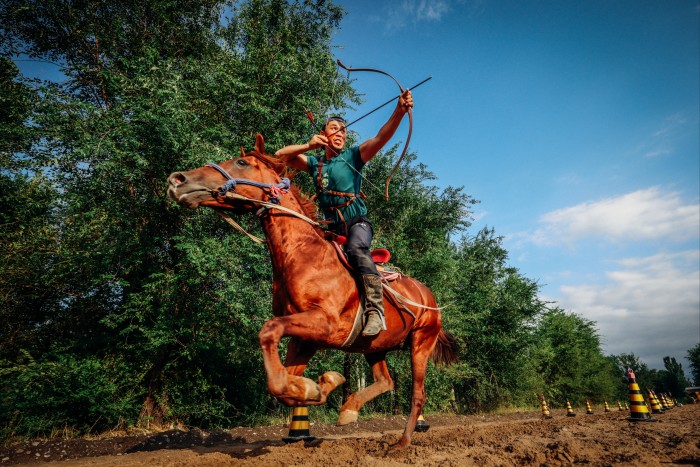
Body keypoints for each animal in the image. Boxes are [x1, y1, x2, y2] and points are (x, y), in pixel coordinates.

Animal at [166, 133, 456, 448]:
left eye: (241, 162)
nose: (177, 179)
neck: (303, 254)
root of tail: (429, 296)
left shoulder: (324, 324)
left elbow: (268, 332)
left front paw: (319, 385)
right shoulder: (304, 338)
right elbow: (278, 385)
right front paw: (318, 386)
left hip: (421, 343)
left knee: (417, 395)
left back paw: (401, 444)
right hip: (373, 346)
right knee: (386, 380)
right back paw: (349, 409)